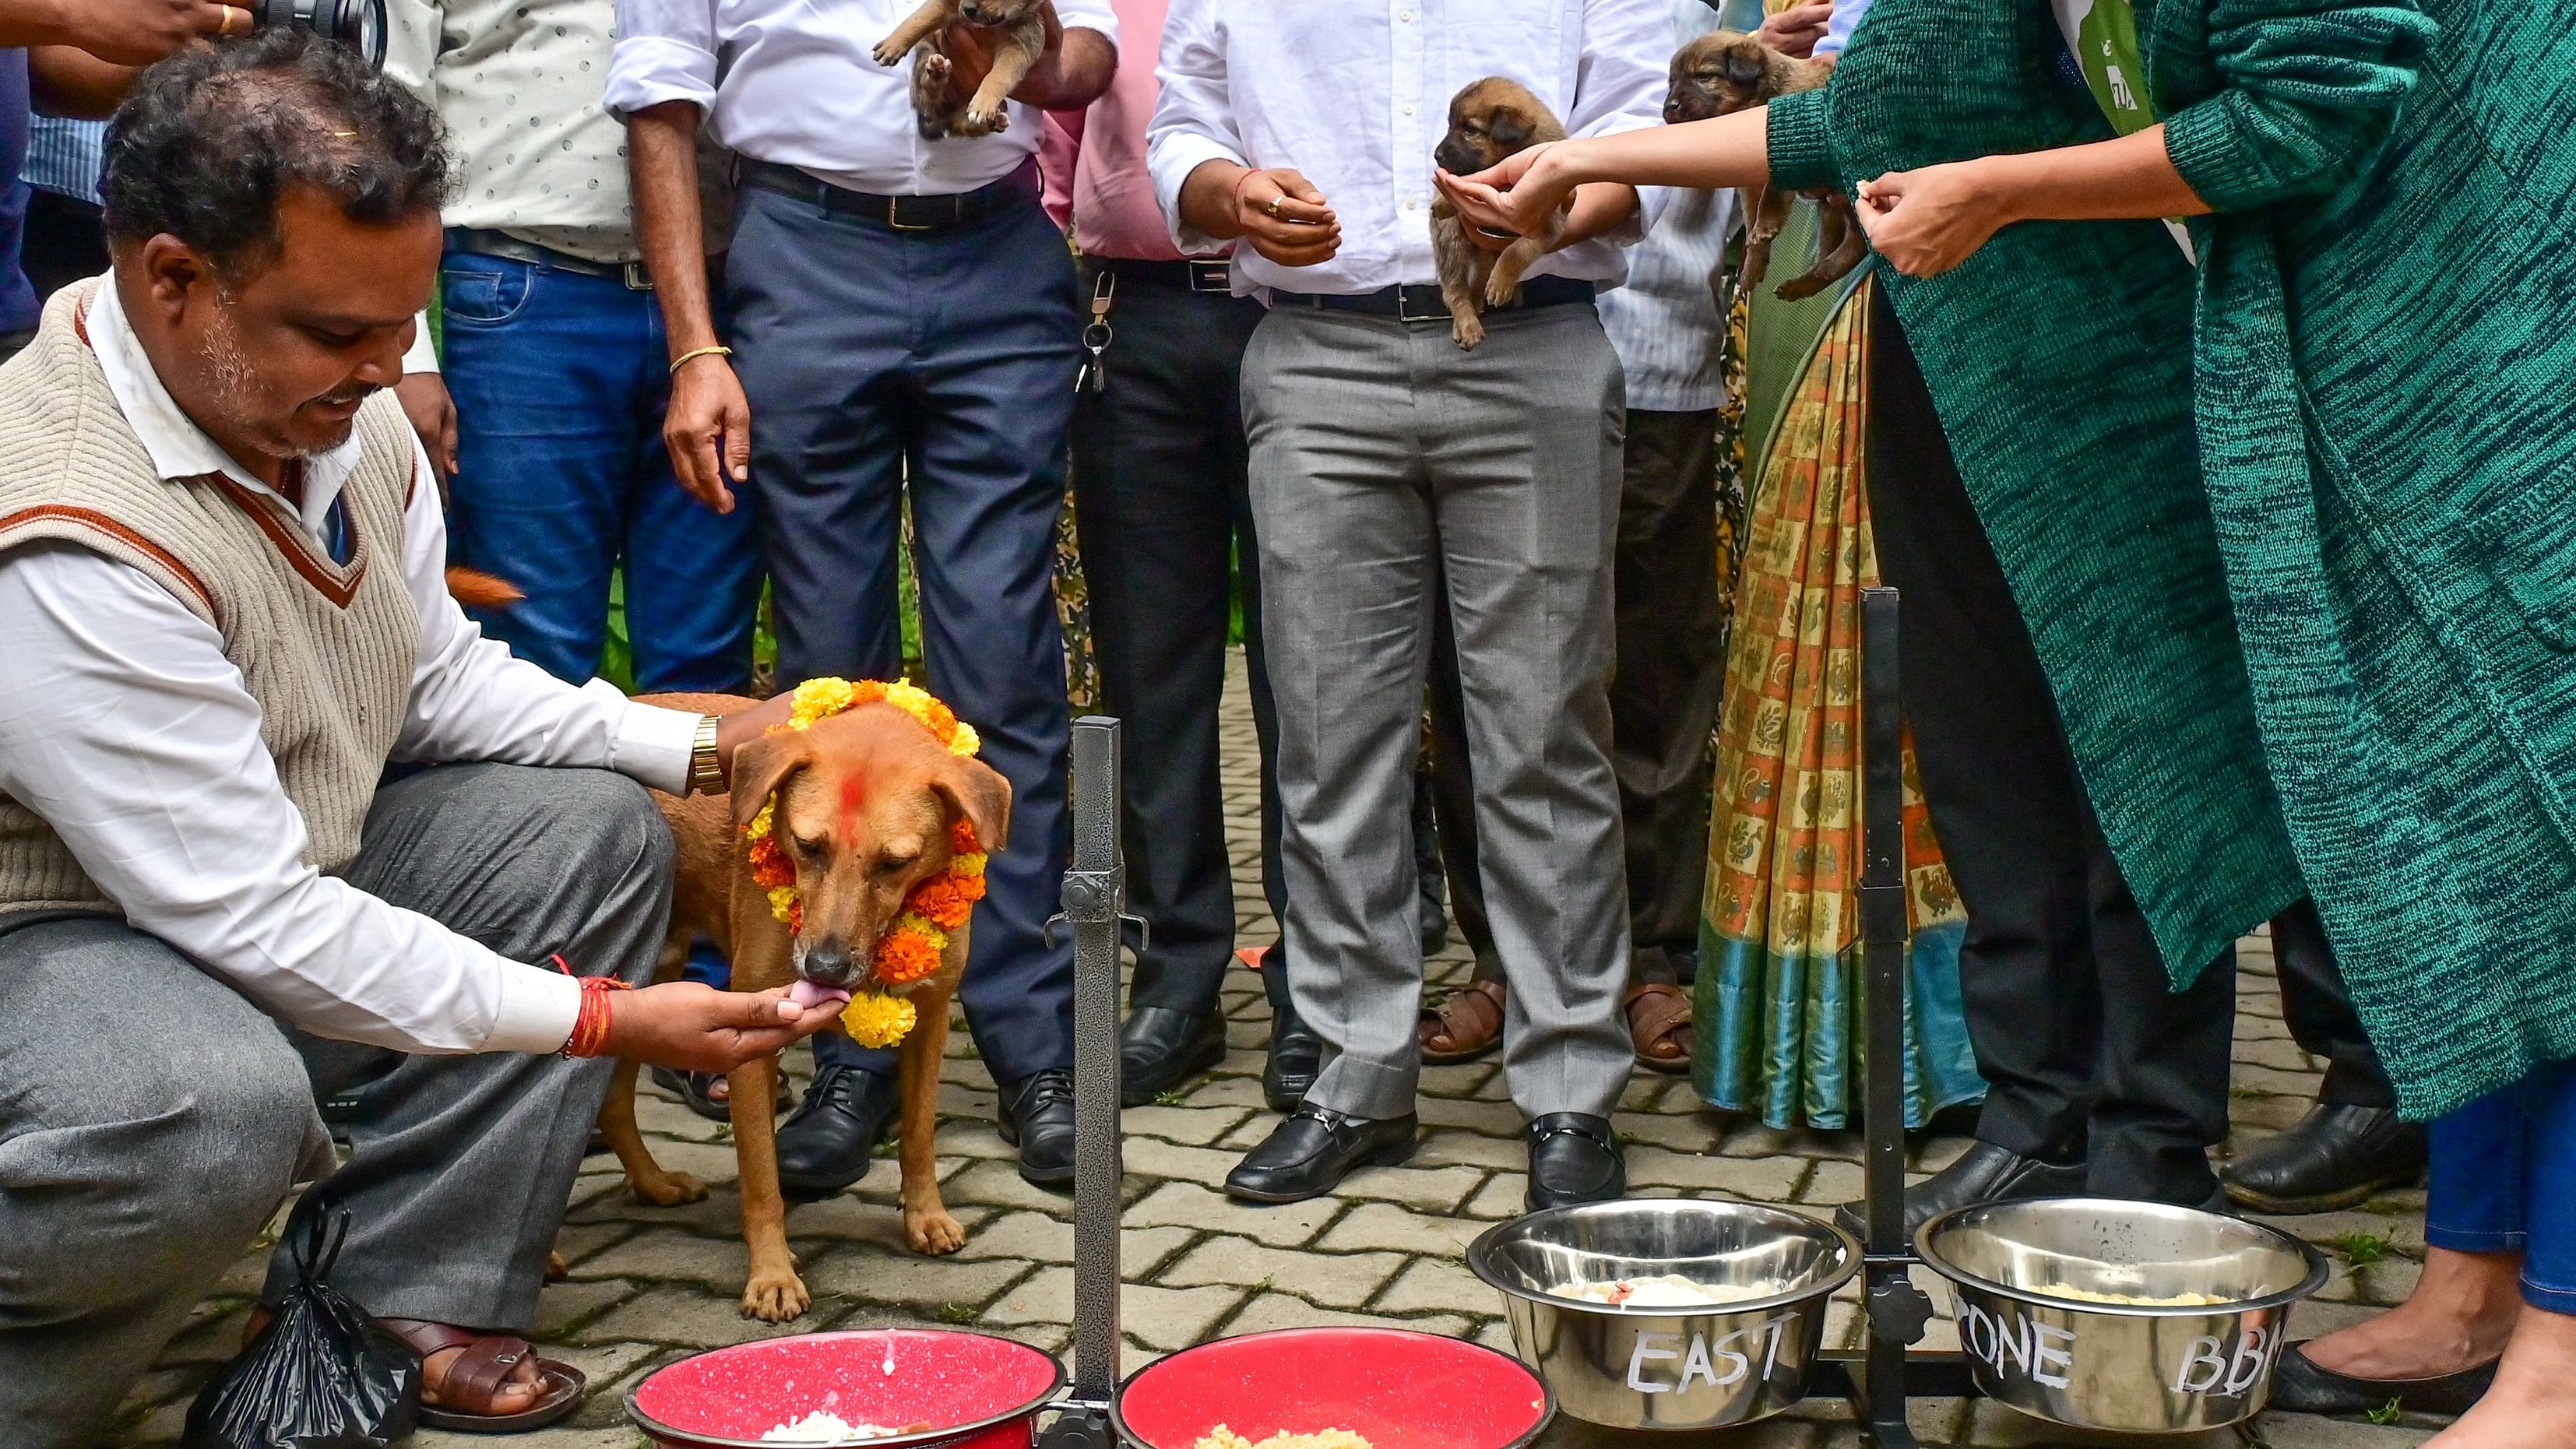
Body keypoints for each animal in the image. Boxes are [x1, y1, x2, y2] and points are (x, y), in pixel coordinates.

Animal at [597, 695, 1009, 1317]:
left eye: (895, 862)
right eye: (808, 846)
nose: (824, 968)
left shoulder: (932, 1018)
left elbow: (918, 1136)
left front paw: (925, 1215)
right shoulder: (748, 1043)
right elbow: (761, 1176)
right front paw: (772, 1274)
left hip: (650, 980)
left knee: (615, 1103)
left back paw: (652, 1183)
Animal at [875, 0, 1046, 140]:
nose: (968, 9)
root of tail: (939, 119)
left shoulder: (1020, 44)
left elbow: (999, 76)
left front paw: (983, 103)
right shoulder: (946, 4)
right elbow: (919, 19)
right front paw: (893, 44)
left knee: (965, 125)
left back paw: (995, 120)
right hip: (926, 55)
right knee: (927, 88)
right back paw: (937, 73)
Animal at [1432, 77, 1566, 352]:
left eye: (1470, 130)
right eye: (1450, 126)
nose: (1436, 155)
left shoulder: (1547, 222)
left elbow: (1516, 251)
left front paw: (1502, 281)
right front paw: (1443, 201)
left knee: (1481, 274)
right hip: (1450, 241)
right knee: (1455, 289)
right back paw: (1467, 322)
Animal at [1659, 30, 1864, 302]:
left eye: (1704, 76)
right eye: (1671, 83)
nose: (1668, 109)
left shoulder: (1786, 154)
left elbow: (1770, 198)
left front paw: (1765, 228)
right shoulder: (1750, 188)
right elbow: (1752, 219)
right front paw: (1751, 269)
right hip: (1832, 210)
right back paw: (1807, 280)